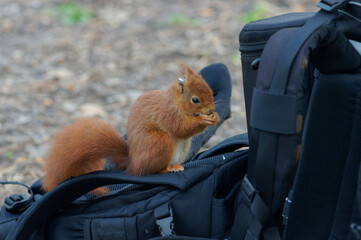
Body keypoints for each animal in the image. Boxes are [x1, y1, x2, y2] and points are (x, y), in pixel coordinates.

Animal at [40, 62, 218, 194]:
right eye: (195, 100)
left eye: (210, 90)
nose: (210, 110)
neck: (176, 102)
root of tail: (133, 163)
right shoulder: (168, 114)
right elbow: (179, 128)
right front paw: (203, 120)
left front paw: (214, 116)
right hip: (159, 142)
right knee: (151, 170)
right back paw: (168, 168)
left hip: (182, 148)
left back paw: (176, 166)